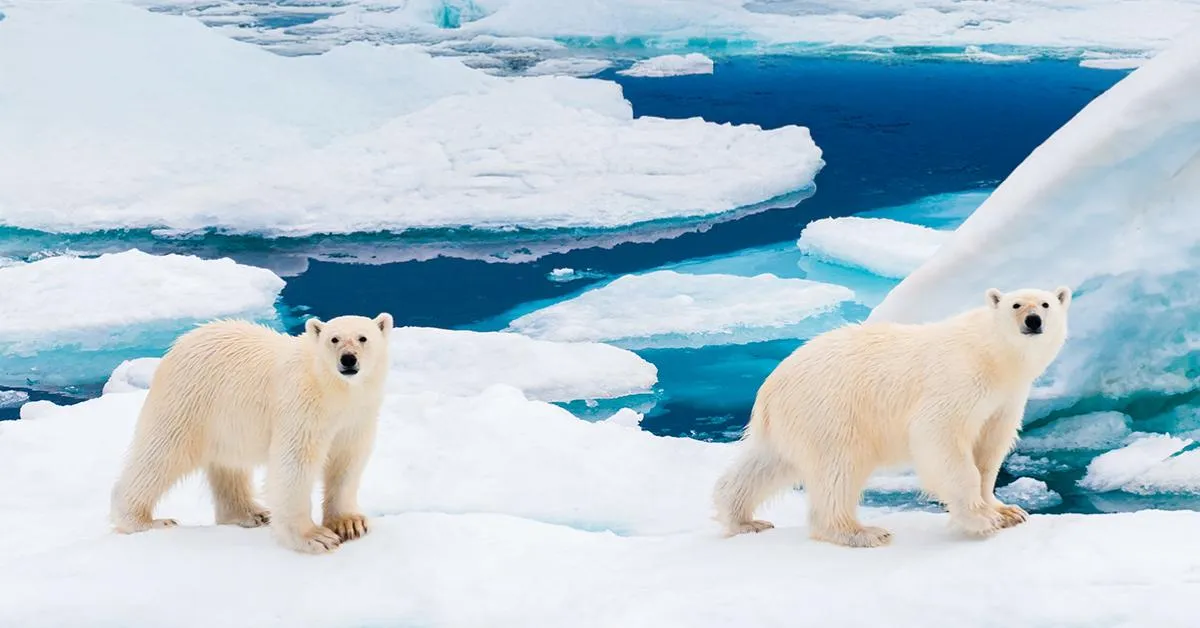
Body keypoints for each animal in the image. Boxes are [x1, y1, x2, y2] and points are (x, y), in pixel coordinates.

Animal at [109, 313, 393, 554]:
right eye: (333, 339)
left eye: (362, 338)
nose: (348, 359)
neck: (335, 389)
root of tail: (179, 344)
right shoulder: (302, 405)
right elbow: (295, 463)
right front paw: (314, 537)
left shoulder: (356, 416)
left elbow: (348, 459)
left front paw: (349, 524)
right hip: (188, 401)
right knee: (161, 454)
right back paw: (145, 521)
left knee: (228, 466)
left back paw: (251, 513)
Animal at [713, 286, 1071, 548]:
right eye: (1015, 305)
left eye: (1045, 303)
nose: (1033, 320)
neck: (993, 356)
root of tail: (770, 387)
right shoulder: (957, 380)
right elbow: (941, 437)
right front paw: (981, 519)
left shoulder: (1005, 399)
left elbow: (989, 452)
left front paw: (1008, 511)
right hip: (831, 412)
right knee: (838, 470)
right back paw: (862, 532)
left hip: (793, 423)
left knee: (764, 465)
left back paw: (743, 519)